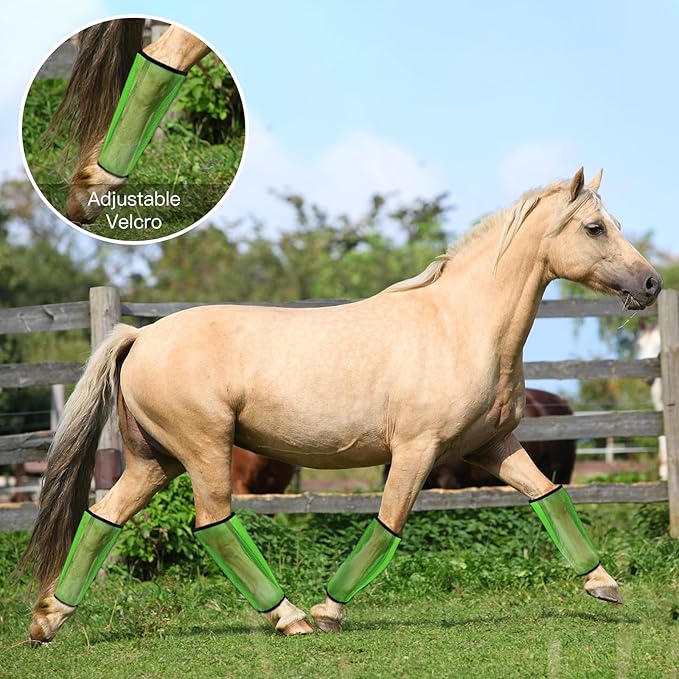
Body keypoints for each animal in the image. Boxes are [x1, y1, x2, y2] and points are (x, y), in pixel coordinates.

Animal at [22, 168, 662, 643]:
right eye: (595, 227)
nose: (652, 284)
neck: (459, 326)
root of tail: (140, 337)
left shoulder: (491, 445)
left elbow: (548, 495)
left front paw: (604, 584)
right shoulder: (417, 451)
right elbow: (389, 523)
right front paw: (330, 611)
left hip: (155, 461)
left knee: (104, 517)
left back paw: (47, 619)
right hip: (203, 451)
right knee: (213, 523)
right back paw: (291, 618)